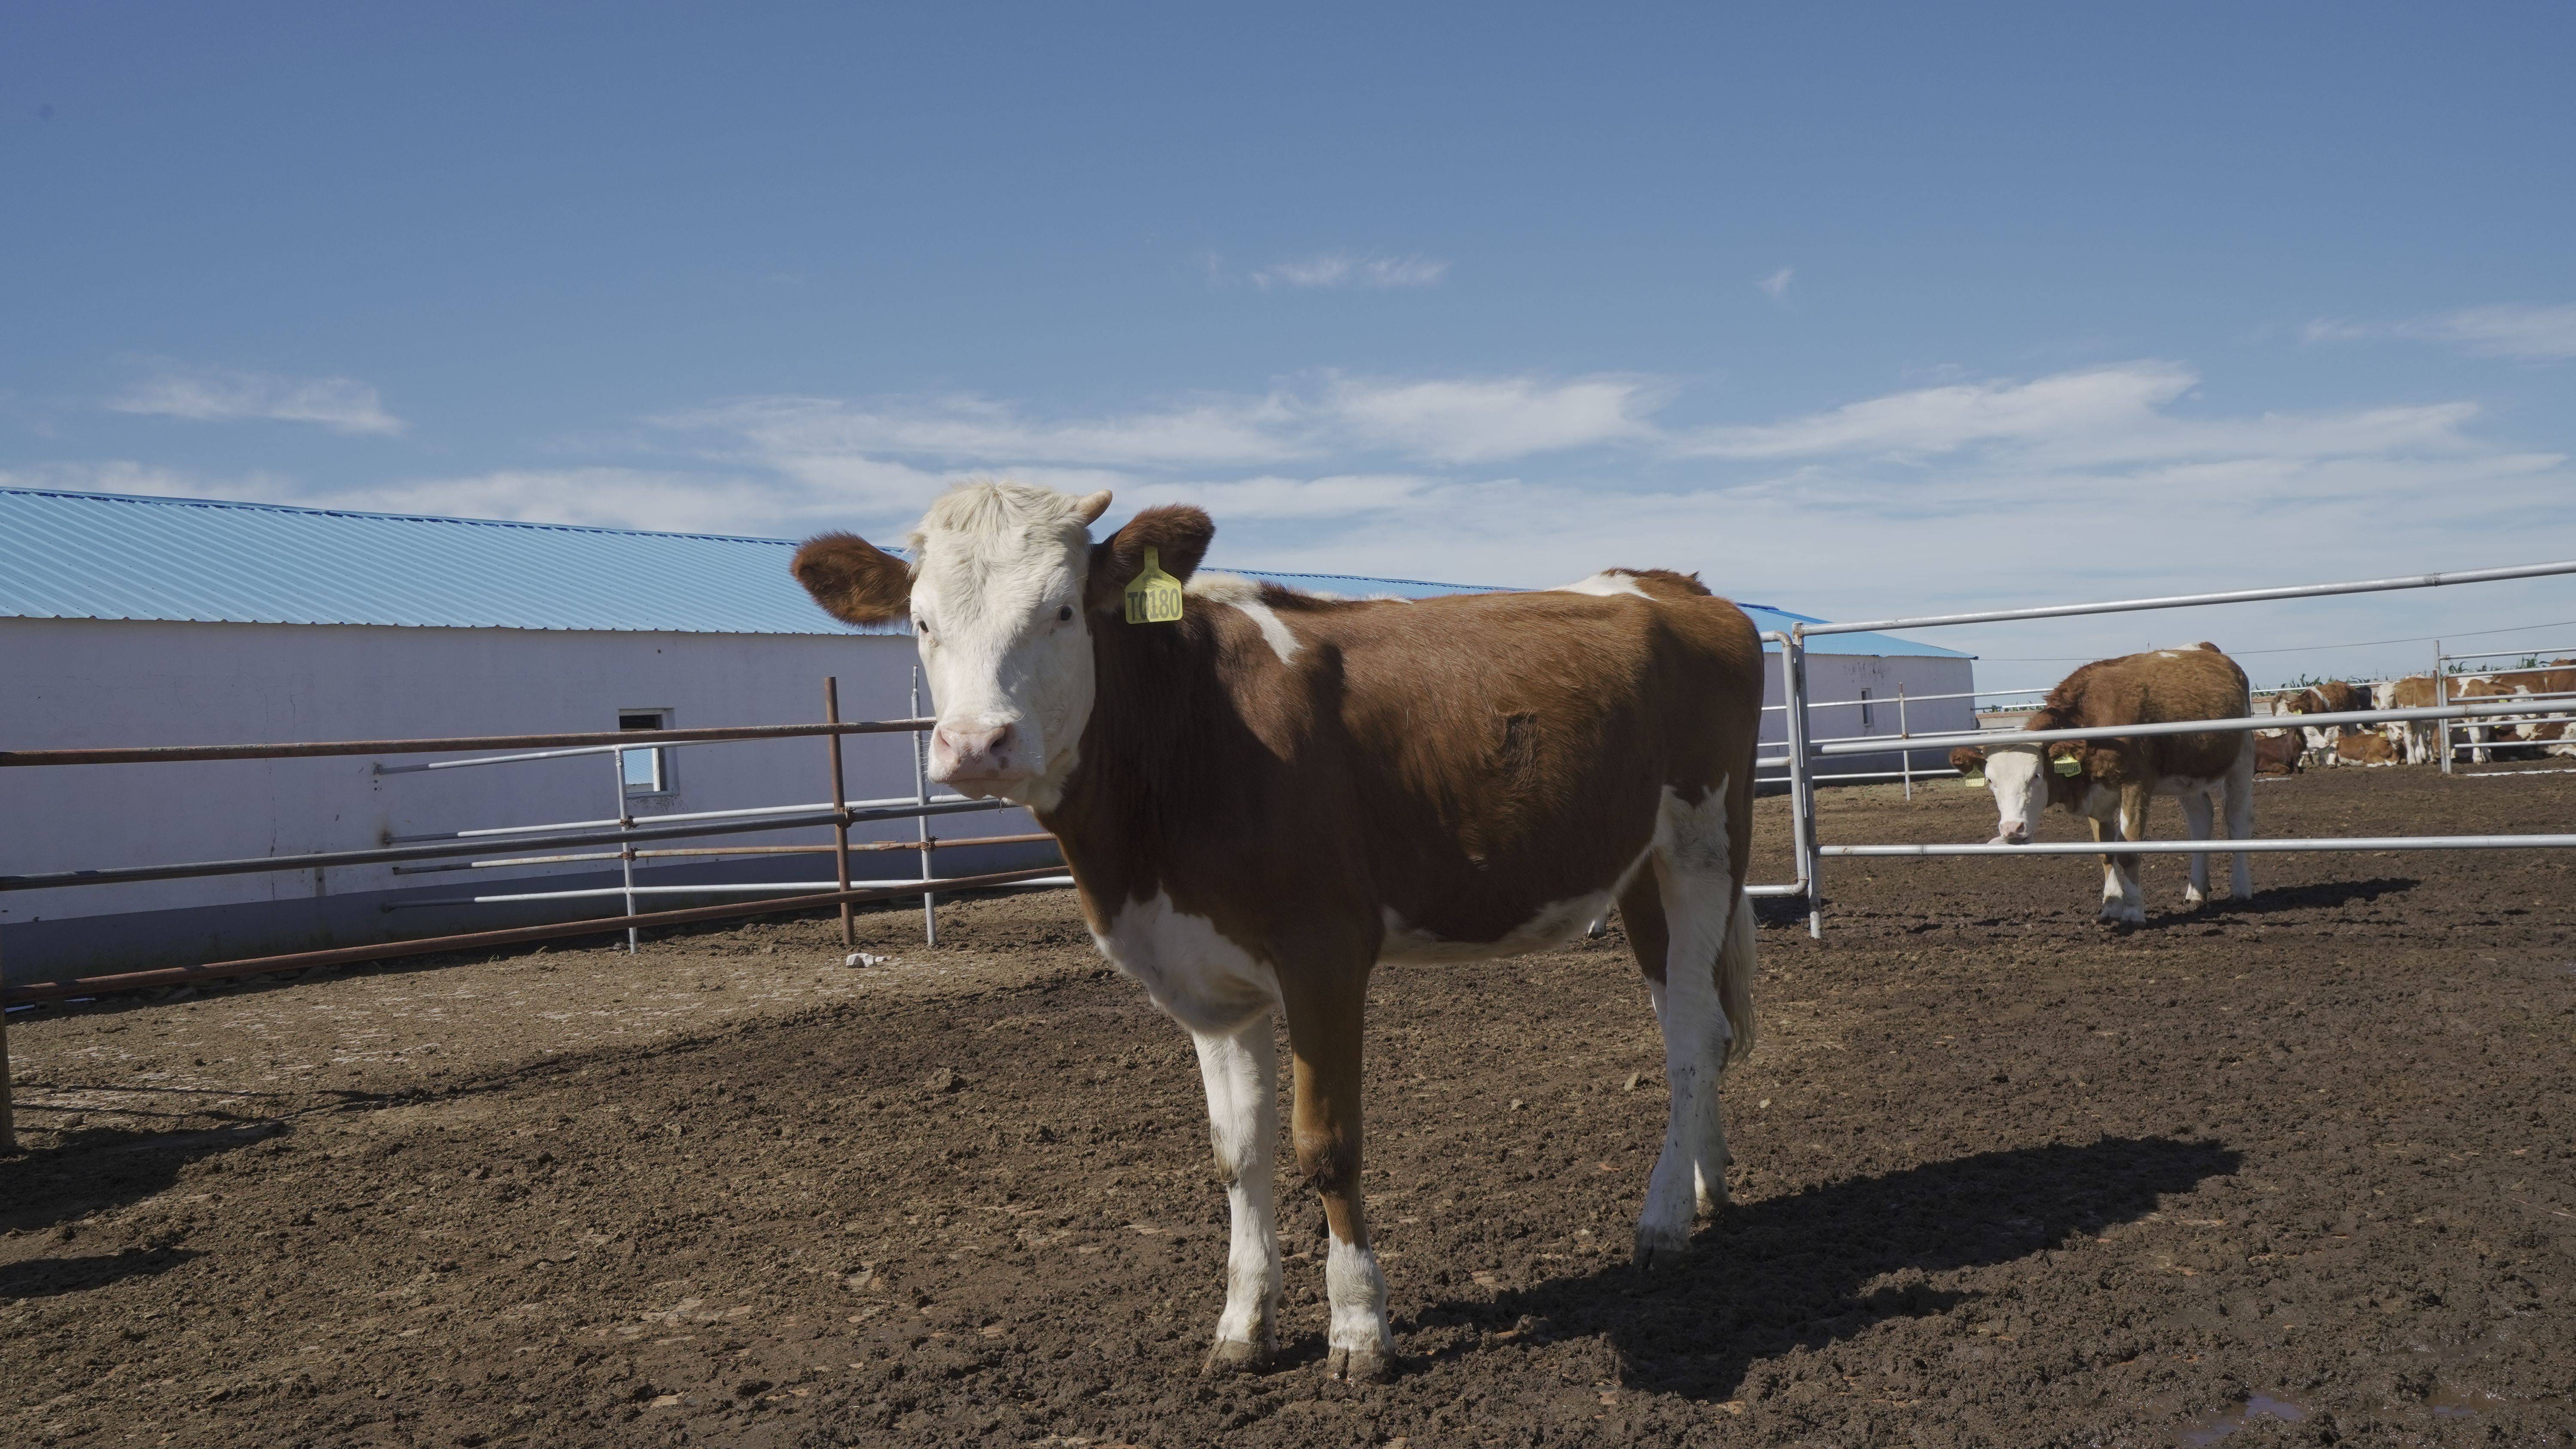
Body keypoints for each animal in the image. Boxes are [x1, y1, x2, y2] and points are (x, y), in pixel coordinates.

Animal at [793, 486, 1762, 1379]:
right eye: (922, 622)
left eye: (1062, 609)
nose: (975, 745)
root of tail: (1673, 585)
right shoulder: (1205, 977)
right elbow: (1238, 1153)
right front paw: (1243, 1322)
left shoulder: (1325, 951)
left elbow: (1326, 1145)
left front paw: (1360, 1329)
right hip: (1640, 868)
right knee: (1694, 1020)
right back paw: (1706, 1184)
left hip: (1707, 843)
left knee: (1693, 1037)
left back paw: (1663, 1218)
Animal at [1947, 643, 2257, 926]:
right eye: (1990, 780)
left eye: (2036, 776)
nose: (2012, 829)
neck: (2094, 725)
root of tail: (2206, 650)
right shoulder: (2095, 795)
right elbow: (2106, 853)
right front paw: (2111, 905)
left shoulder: (2136, 784)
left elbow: (2130, 851)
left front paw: (2133, 911)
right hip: (2187, 776)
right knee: (2201, 818)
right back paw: (2196, 892)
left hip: (2243, 759)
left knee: (2237, 820)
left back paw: (2241, 888)